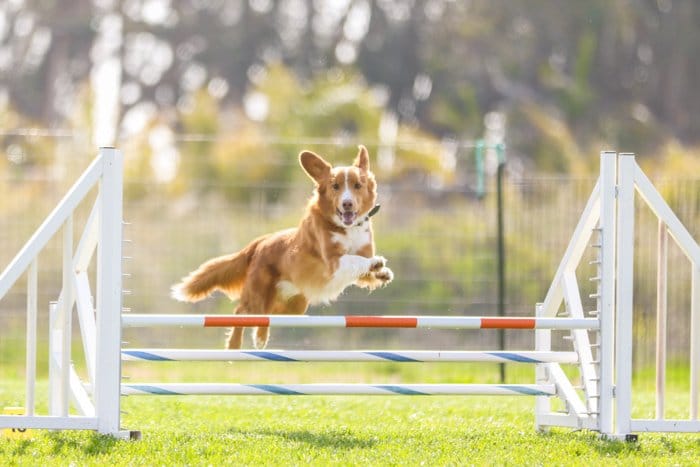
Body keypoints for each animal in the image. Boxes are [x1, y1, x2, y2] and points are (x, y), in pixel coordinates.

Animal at [170, 145, 394, 348]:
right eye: (335, 187)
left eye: (357, 185)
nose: (347, 204)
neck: (346, 227)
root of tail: (260, 242)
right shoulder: (333, 262)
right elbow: (354, 259)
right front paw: (376, 263)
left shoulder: (359, 261)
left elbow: (364, 265)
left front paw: (381, 272)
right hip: (259, 298)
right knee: (241, 312)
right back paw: (235, 345)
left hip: (294, 306)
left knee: (268, 316)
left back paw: (260, 338)